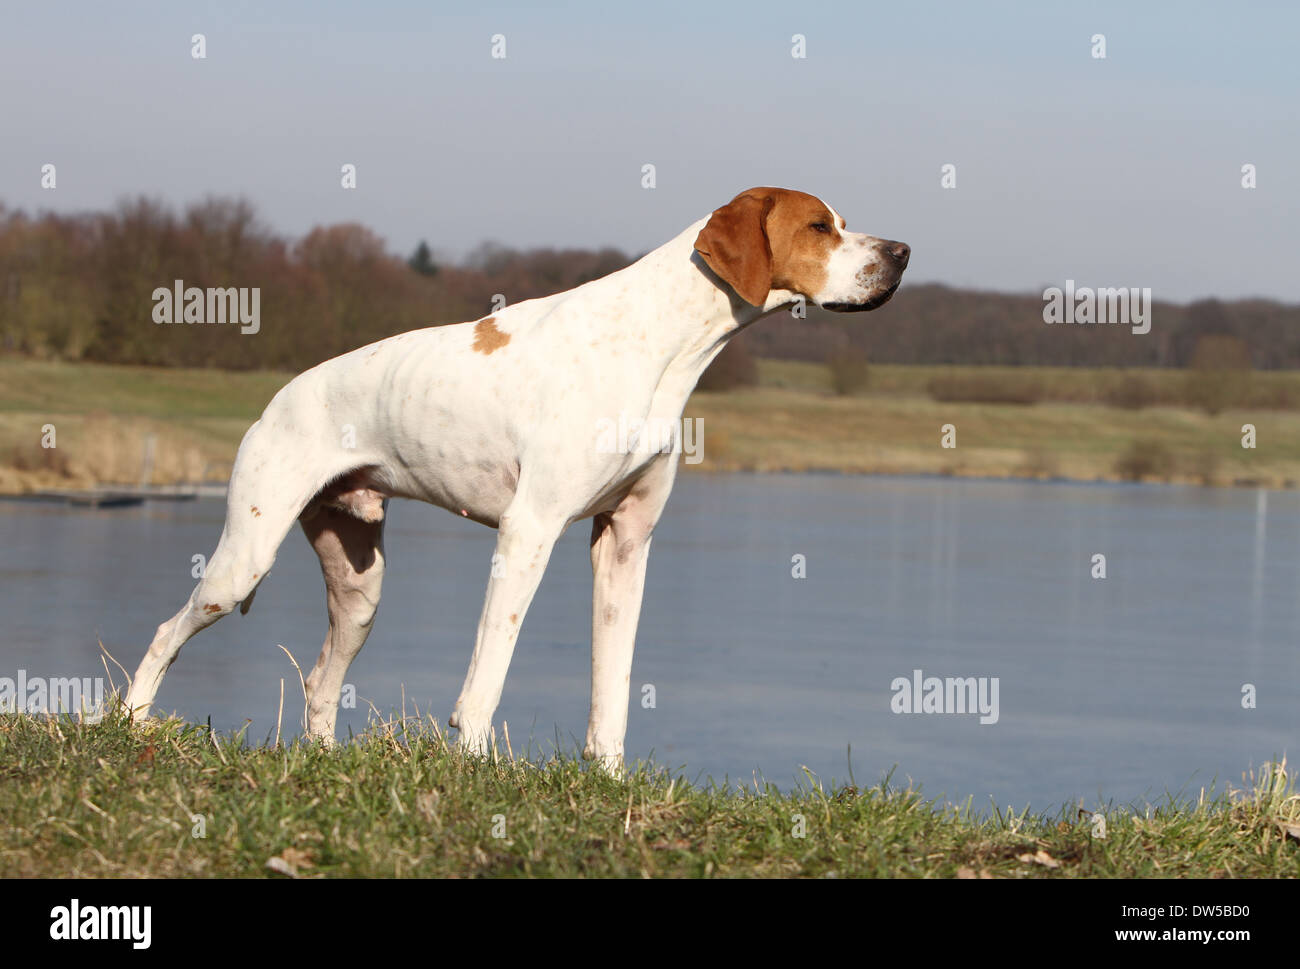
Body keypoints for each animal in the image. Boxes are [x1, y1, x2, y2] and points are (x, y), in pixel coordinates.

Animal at [126, 184, 909, 764]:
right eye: (820, 226)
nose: (902, 250)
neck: (657, 342)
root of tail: (278, 397)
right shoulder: (527, 532)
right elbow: (489, 672)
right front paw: (472, 766)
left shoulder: (626, 544)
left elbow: (613, 686)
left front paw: (610, 778)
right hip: (243, 562)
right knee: (165, 631)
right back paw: (130, 724)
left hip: (359, 589)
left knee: (321, 680)